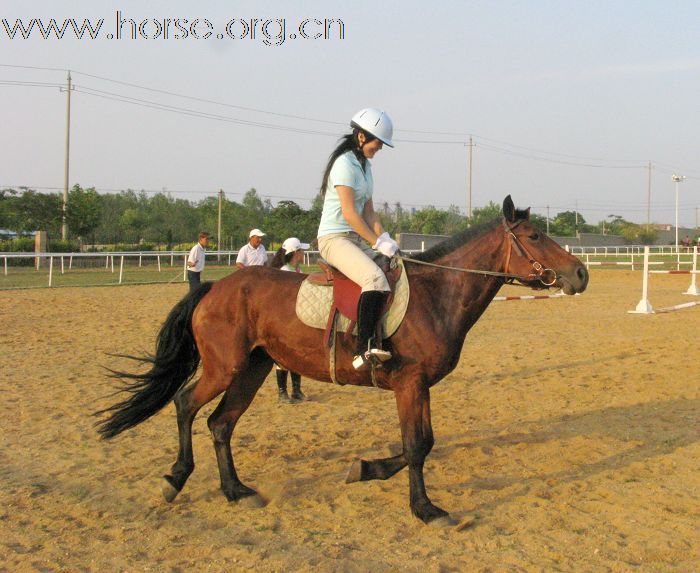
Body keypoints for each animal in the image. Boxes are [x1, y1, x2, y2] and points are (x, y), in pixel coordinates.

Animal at [97, 196, 592, 524]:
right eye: (534, 236)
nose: (581, 273)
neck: (437, 294)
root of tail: (216, 287)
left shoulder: (418, 386)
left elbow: (421, 443)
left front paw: (367, 469)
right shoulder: (409, 384)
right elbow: (417, 446)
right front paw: (424, 508)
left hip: (252, 370)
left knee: (220, 424)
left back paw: (236, 490)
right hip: (225, 368)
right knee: (185, 404)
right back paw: (176, 478)